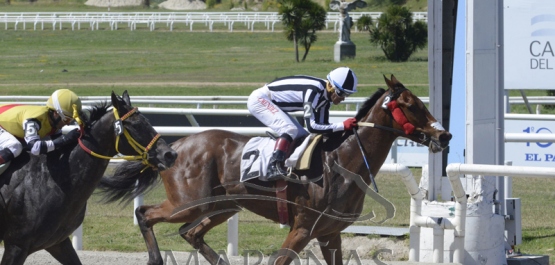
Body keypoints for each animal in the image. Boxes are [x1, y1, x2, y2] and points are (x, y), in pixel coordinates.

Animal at [0, 91, 176, 264]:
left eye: (147, 121)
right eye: (135, 125)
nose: (170, 154)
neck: (53, 179)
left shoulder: (57, 243)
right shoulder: (17, 245)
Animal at [97, 75, 450, 264]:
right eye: (411, 104)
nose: (443, 135)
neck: (342, 160)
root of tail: (176, 145)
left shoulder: (330, 233)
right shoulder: (303, 228)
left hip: (224, 204)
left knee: (190, 232)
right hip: (187, 203)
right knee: (146, 215)